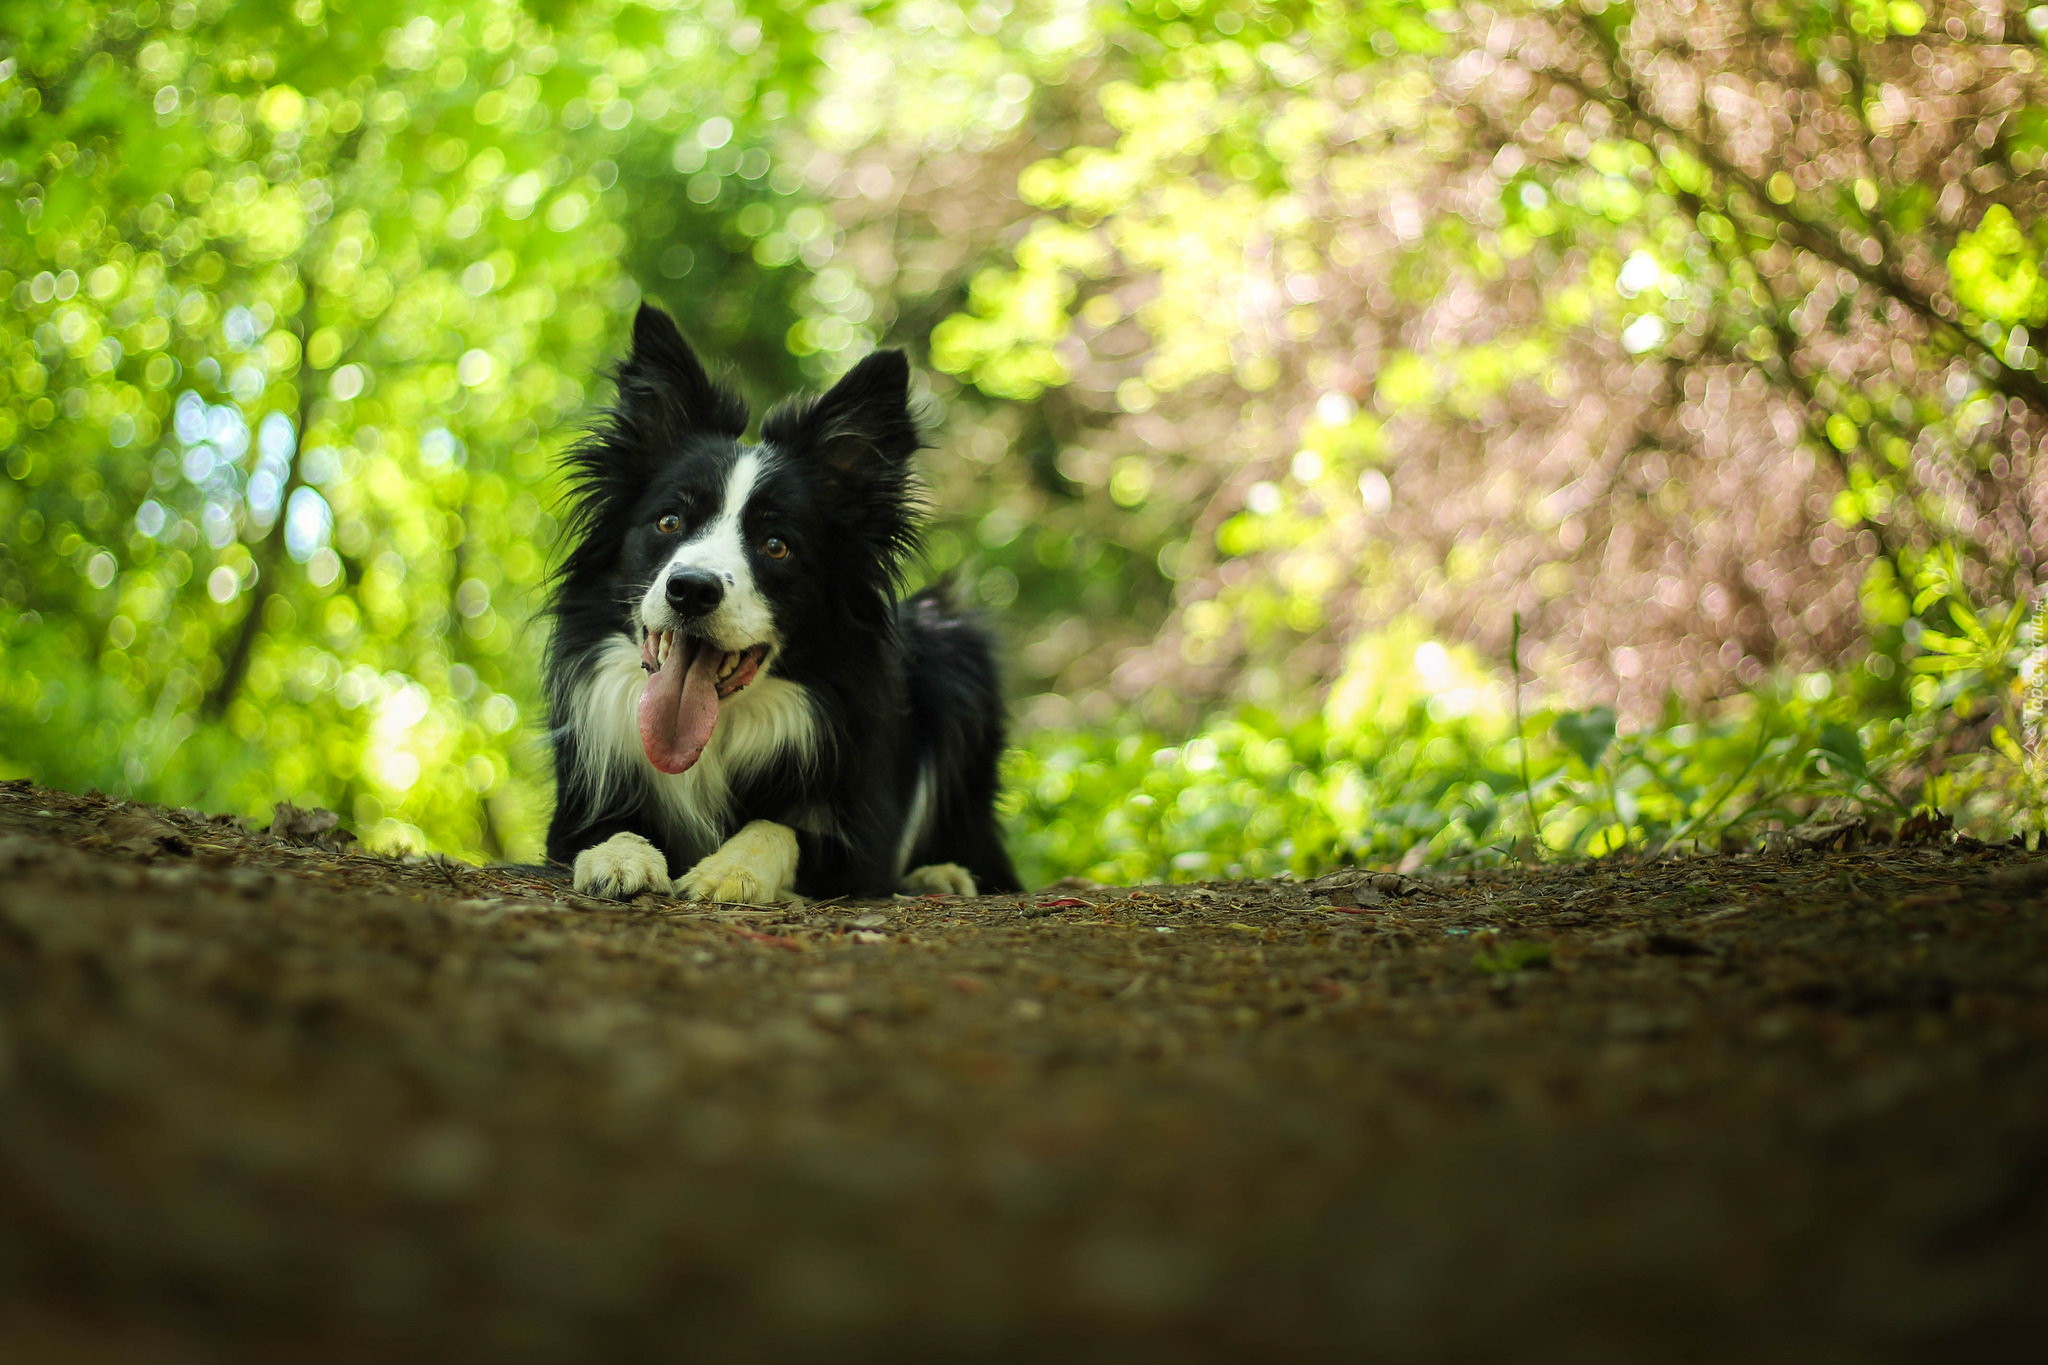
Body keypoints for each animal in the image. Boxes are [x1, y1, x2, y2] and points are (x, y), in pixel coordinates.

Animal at [544, 302, 1024, 900]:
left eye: (777, 545)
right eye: (669, 520)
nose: (691, 589)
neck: (720, 734)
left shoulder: (860, 843)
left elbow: (780, 828)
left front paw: (730, 869)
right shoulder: (576, 807)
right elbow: (604, 829)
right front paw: (619, 855)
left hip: (954, 648)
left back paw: (942, 874)